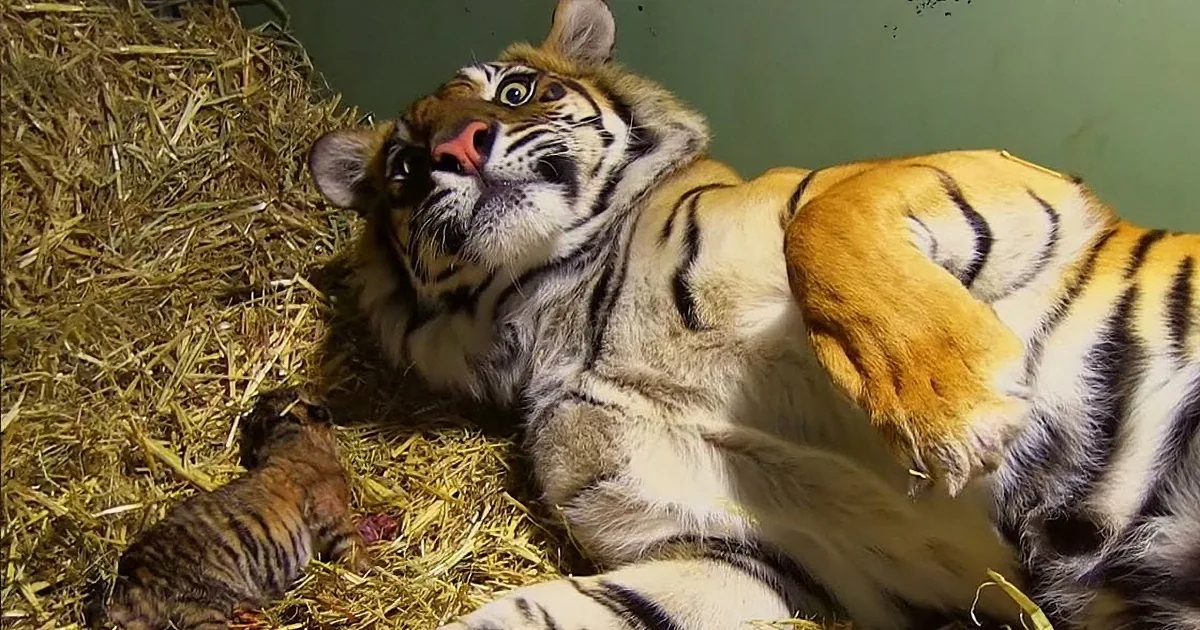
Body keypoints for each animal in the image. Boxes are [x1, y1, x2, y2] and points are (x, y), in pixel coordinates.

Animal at [86, 389, 369, 630]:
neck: (289, 438)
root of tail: (131, 582)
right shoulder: (330, 513)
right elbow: (352, 546)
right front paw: (368, 571)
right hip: (201, 608)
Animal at [305, 0, 1199, 627]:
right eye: (404, 167)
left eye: (516, 91)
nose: (456, 150)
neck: (561, 309)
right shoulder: (757, 553)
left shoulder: (1014, 182)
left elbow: (824, 223)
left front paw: (955, 412)